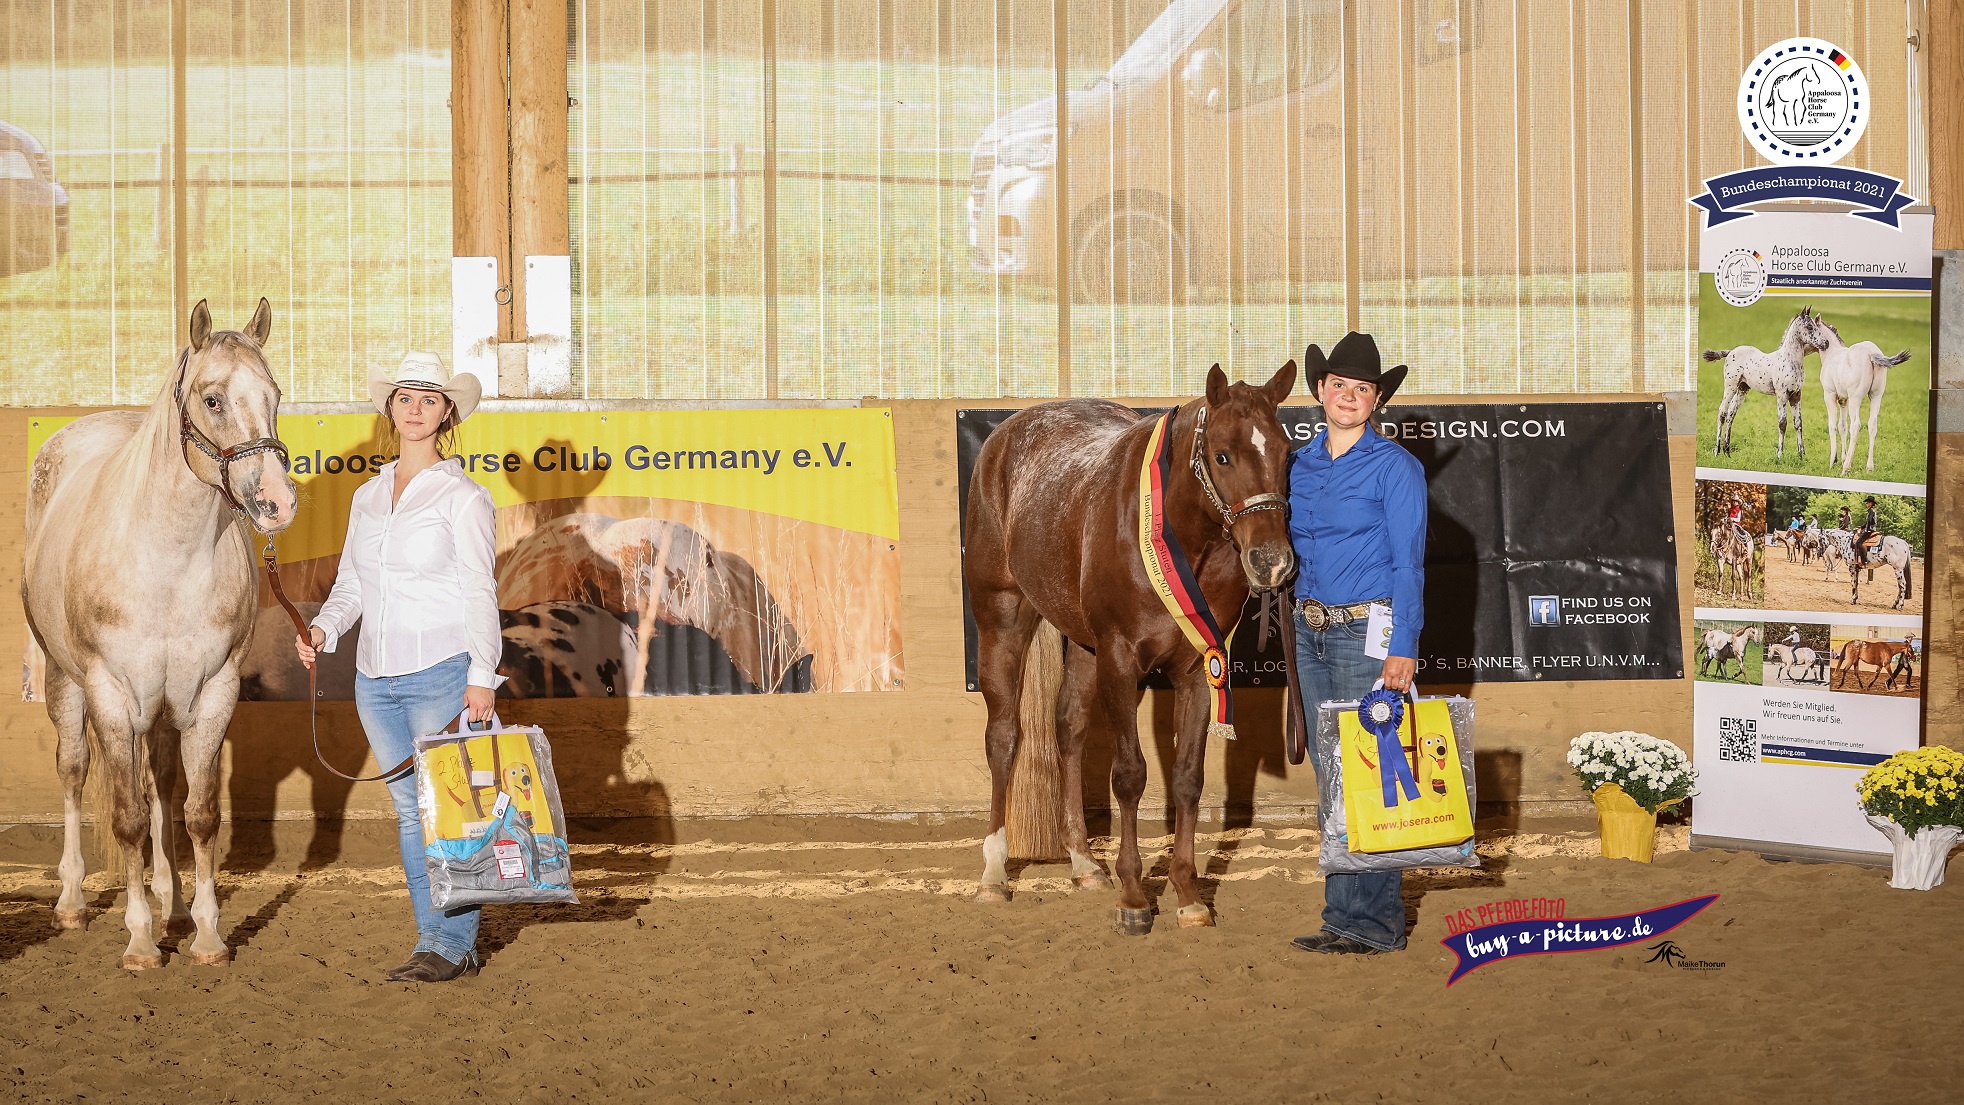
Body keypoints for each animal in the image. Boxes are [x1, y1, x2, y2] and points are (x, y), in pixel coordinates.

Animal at [22, 299, 298, 969]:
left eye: (274, 394)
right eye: (213, 399)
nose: (276, 503)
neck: (168, 559)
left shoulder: (212, 692)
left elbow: (198, 814)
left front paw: (206, 933)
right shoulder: (111, 695)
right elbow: (125, 818)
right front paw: (141, 941)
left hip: (164, 708)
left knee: (164, 786)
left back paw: (170, 899)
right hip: (66, 683)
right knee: (74, 772)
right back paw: (72, 902)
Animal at [963, 363, 1297, 934]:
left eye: (1287, 453)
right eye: (1223, 455)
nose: (1271, 561)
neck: (1180, 537)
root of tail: (1004, 438)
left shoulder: (1200, 667)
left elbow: (1186, 778)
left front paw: (1187, 894)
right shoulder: (1120, 661)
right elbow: (1130, 776)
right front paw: (1135, 897)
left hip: (1083, 646)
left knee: (1068, 729)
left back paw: (1083, 865)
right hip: (1002, 619)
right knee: (1003, 737)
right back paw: (993, 875)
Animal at [1706, 306, 1828, 464]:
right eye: (1809, 327)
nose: (1826, 343)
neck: (1790, 360)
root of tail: (1730, 352)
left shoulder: (1796, 395)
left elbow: (1798, 423)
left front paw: (1801, 455)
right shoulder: (1782, 395)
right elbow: (1782, 423)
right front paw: (1780, 456)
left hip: (1742, 388)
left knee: (1731, 414)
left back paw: (1727, 452)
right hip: (1730, 386)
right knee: (1722, 412)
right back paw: (1717, 451)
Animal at [1815, 315, 1911, 476]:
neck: (1832, 354)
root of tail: (1870, 353)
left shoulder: (1830, 395)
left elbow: (1833, 426)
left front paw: (1833, 462)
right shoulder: (1844, 399)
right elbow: (1842, 426)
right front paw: (1842, 458)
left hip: (1856, 399)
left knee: (1856, 425)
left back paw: (1846, 468)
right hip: (1876, 396)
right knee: (1872, 425)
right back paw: (1869, 468)